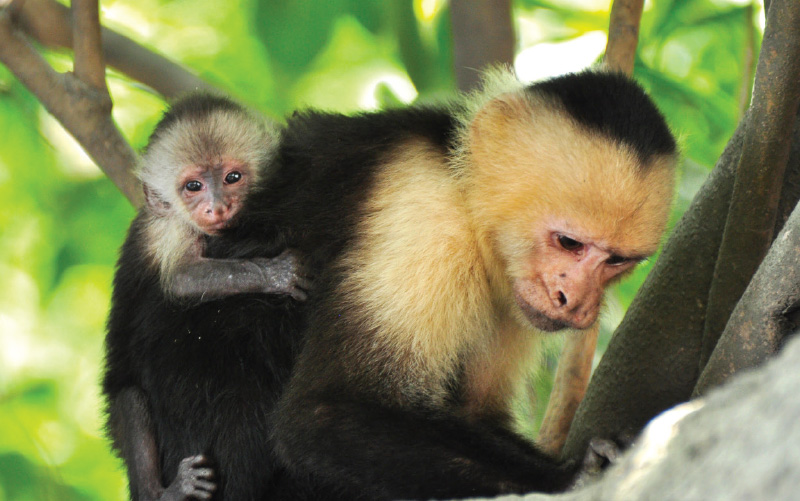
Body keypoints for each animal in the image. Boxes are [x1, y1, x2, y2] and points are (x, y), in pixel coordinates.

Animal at [101, 92, 310, 498]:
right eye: (193, 186)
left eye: (232, 178)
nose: (217, 207)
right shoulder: (170, 230)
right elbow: (182, 279)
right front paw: (277, 274)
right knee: (130, 402)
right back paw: (162, 491)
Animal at [209, 68, 680, 498]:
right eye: (568, 243)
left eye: (616, 261)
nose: (575, 299)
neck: (469, 206)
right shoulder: (423, 209)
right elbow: (324, 413)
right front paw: (571, 477)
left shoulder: (516, 301)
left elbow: (474, 415)